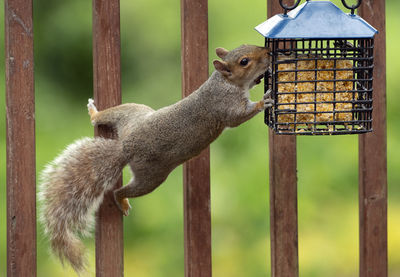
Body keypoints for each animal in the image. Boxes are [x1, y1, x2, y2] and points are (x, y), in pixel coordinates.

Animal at [39, 44, 274, 272]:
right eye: (244, 61)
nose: (267, 52)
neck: (224, 82)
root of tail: (125, 147)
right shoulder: (226, 106)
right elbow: (237, 118)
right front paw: (264, 101)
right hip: (151, 177)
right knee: (120, 191)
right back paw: (121, 200)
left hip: (132, 113)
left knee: (103, 118)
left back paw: (94, 113)